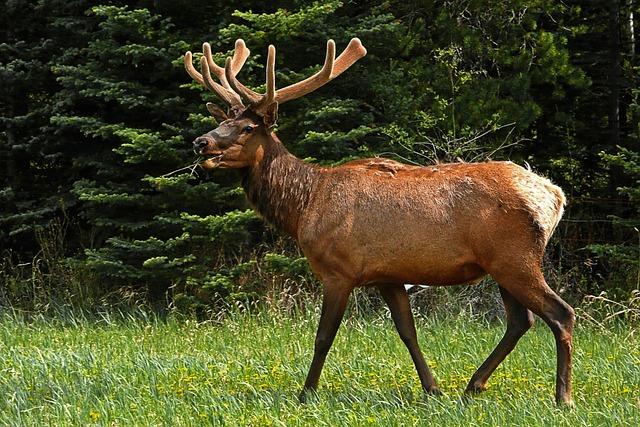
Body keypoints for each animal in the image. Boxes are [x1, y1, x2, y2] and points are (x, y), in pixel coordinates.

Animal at [184, 36, 576, 404]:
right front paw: (433, 389)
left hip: (514, 258)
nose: (200, 142)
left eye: (248, 127)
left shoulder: (339, 270)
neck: (303, 206)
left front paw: (306, 393)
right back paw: (473, 385)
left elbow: (323, 336)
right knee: (520, 321)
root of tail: (554, 197)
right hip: (500, 264)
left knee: (560, 313)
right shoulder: (388, 275)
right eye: (222, 121)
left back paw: (562, 397)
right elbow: (407, 331)